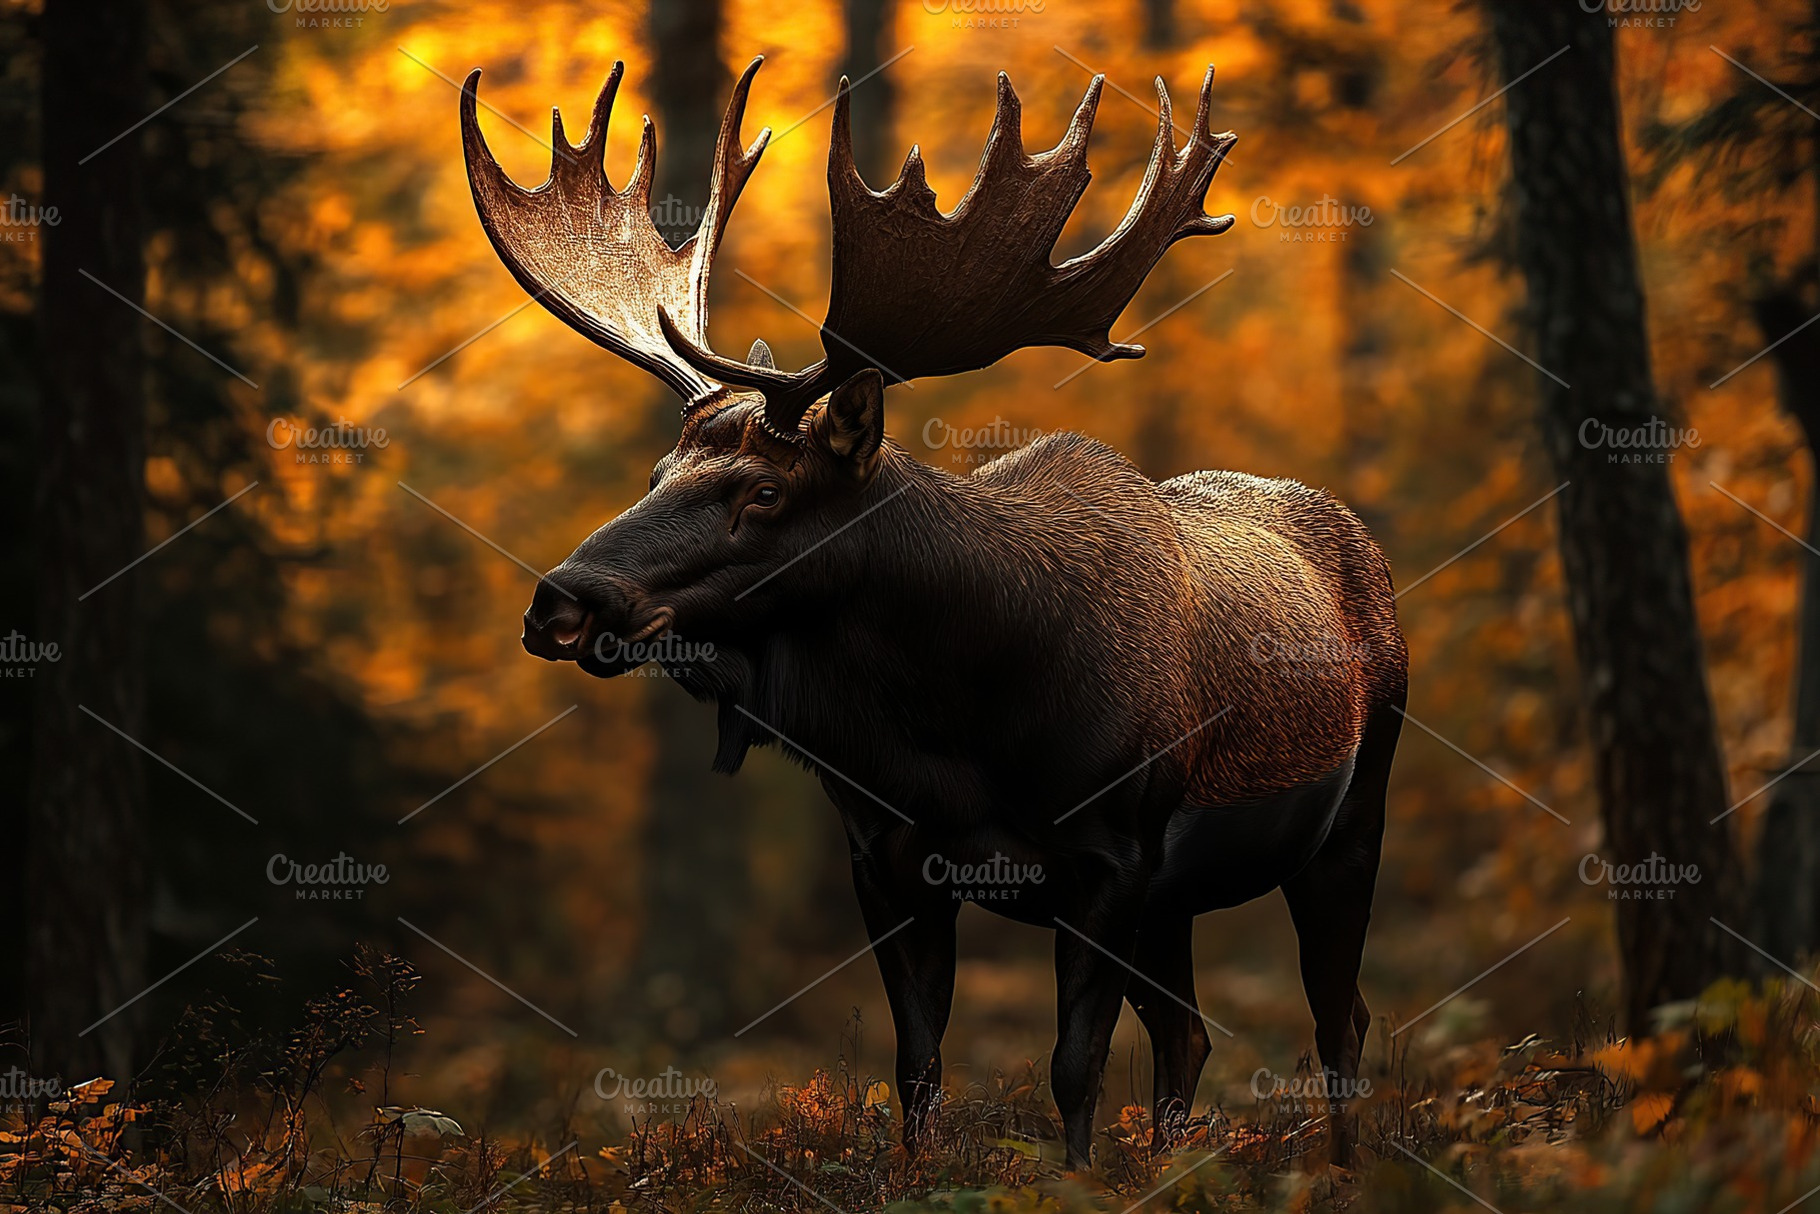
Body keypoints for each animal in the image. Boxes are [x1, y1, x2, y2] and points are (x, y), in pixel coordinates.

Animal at [460, 54, 1407, 1169]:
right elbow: (916, 1066)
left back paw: (1342, 1167)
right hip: (1178, 898)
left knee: (1338, 1017)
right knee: (1191, 1032)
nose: (561, 601)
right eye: (656, 472)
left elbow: (1071, 1067)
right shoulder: (887, 857)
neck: (956, 734)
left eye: (764, 493)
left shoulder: (1112, 853)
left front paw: (1073, 1180)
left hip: (1352, 812)